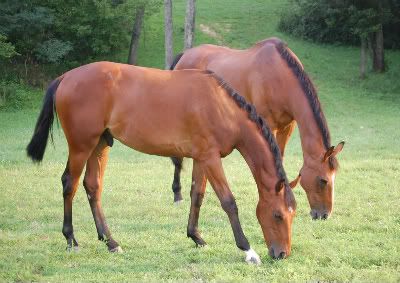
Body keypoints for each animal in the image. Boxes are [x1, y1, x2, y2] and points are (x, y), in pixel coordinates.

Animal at [26, 62, 298, 264]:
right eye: (277, 215)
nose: (282, 254)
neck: (221, 106)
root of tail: (66, 77)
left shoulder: (202, 158)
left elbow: (197, 195)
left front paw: (196, 237)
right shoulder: (211, 158)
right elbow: (229, 202)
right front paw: (248, 250)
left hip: (100, 145)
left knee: (92, 187)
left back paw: (110, 242)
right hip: (82, 146)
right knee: (69, 185)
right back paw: (71, 240)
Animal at [169, 37, 344, 220]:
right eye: (323, 180)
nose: (323, 214)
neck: (279, 76)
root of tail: (185, 55)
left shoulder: (287, 127)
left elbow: (280, 158)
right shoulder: (267, 126)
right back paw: (177, 194)